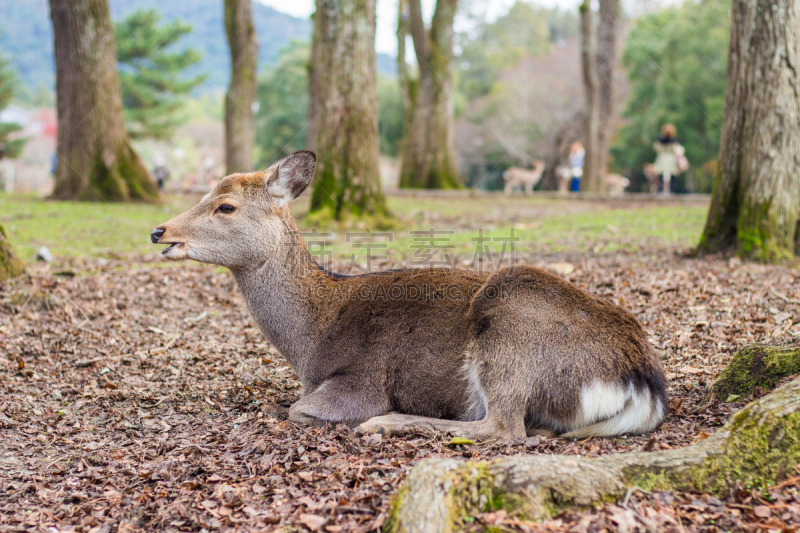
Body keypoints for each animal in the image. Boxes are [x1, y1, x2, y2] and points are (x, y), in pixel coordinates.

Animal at [152, 151, 668, 440]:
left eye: (225, 206)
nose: (160, 231)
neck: (310, 342)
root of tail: (643, 382)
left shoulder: (361, 379)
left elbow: (297, 410)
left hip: (511, 327)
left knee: (504, 428)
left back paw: (387, 425)